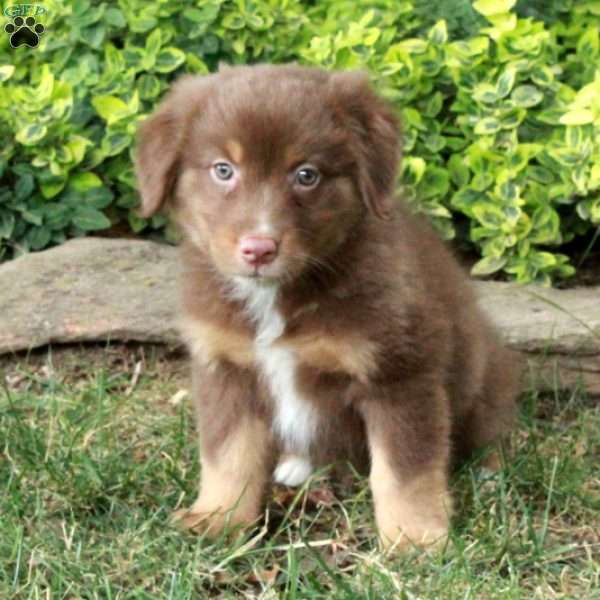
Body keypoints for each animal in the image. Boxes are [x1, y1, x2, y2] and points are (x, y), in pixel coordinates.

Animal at [136, 63, 520, 552]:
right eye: (223, 170)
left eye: (306, 174)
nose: (258, 249)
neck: (280, 297)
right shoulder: (227, 366)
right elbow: (229, 454)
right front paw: (218, 518)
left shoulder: (399, 374)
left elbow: (404, 470)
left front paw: (413, 539)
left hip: (484, 376)